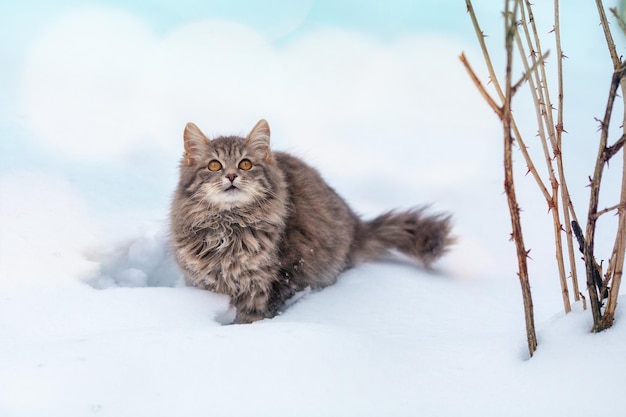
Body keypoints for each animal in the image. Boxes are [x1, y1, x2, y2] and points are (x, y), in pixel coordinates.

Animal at [171, 118, 450, 324]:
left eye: (246, 164)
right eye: (214, 165)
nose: (231, 176)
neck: (229, 226)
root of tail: (356, 224)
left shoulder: (271, 281)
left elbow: (252, 315)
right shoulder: (206, 280)